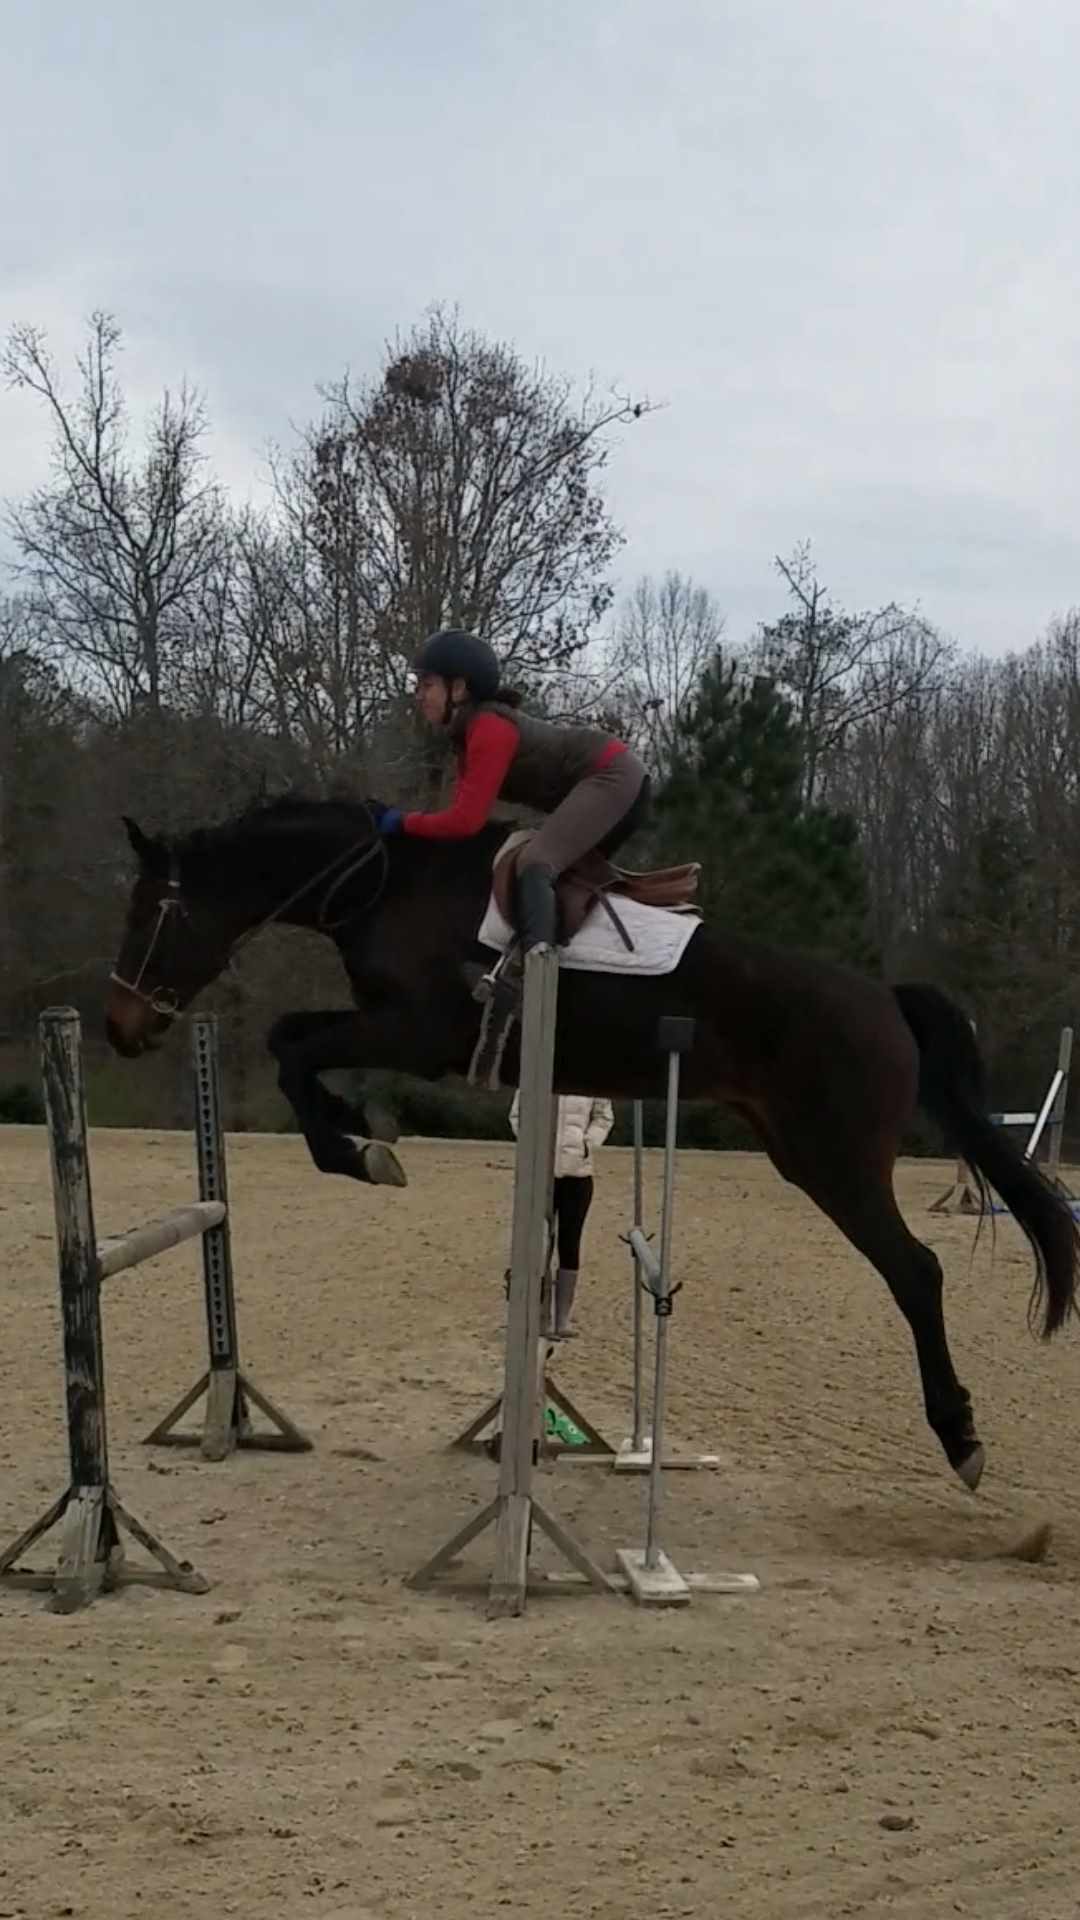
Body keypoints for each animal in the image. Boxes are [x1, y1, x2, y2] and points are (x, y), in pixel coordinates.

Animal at [103, 792, 1079, 1493]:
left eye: (150, 911)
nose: (119, 1028)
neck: (385, 883)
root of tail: (884, 1000)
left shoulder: (418, 1032)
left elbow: (294, 1049)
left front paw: (357, 1151)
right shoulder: (395, 1028)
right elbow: (292, 1042)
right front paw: (361, 1140)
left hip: (834, 1159)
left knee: (916, 1270)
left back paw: (961, 1438)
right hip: (797, 1151)